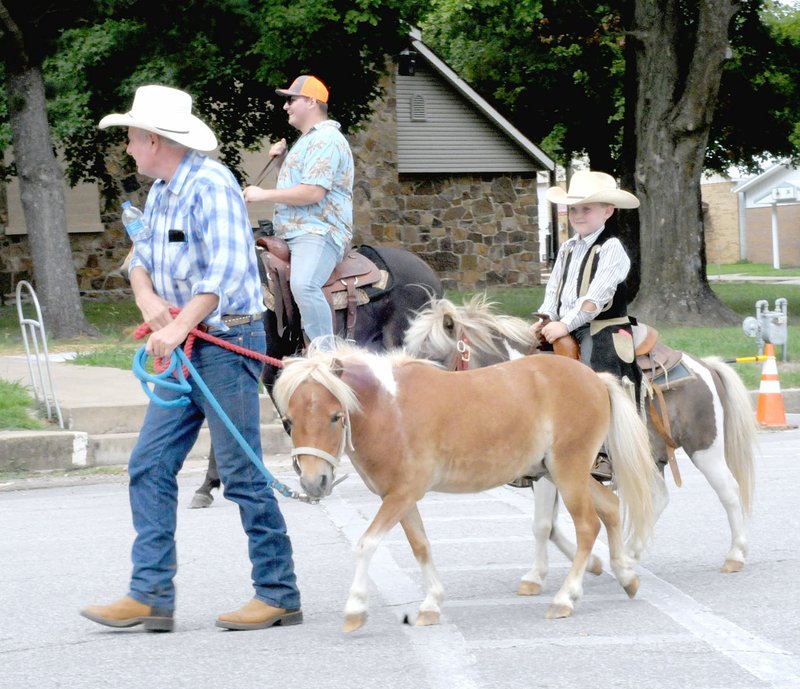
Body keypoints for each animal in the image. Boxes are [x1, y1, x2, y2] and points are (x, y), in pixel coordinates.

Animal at [276, 342, 664, 628]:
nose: (313, 482)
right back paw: (626, 576)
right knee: (610, 509)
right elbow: (421, 546)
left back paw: (565, 598)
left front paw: (356, 608)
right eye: (289, 421)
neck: (390, 410)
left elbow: (366, 544)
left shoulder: (400, 496)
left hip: (568, 471)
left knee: (587, 526)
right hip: (562, 473)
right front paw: (432, 603)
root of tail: (595, 378)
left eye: (335, 416)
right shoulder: (400, 498)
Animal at [404, 292, 760, 572]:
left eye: (434, 356)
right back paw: (630, 554)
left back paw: (736, 554)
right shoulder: (546, 474)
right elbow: (548, 526)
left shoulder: (550, 472)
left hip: (705, 449)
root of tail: (704, 364)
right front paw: (592, 564)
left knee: (729, 491)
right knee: (659, 496)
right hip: (648, 454)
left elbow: (543, 524)